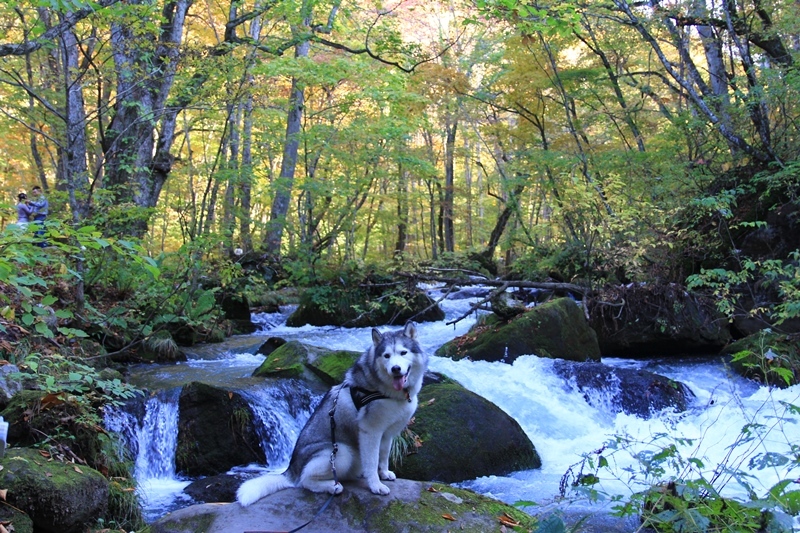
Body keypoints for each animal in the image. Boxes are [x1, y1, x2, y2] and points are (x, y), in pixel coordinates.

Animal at [236, 320, 428, 502]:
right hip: (341, 453)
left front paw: (384, 473)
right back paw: (331, 486)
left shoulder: (386, 434)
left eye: (403, 353)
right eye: (387, 355)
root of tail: (291, 469)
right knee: (304, 480)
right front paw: (375, 485)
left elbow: (383, 456)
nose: (395, 369)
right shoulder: (370, 432)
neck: (386, 391)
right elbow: (372, 462)